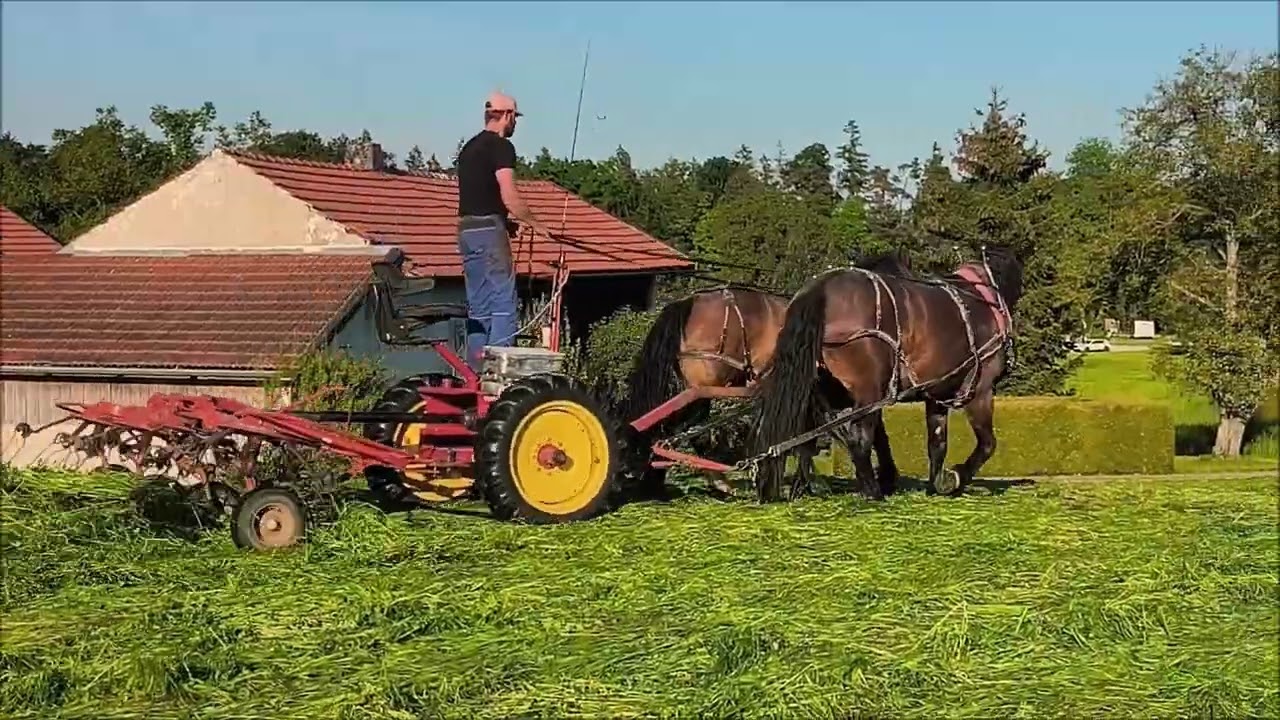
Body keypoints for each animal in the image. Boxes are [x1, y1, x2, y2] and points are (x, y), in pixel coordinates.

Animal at [750, 245, 1024, 503]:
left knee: (821, 439)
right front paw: (956, 477)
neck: (982, 299)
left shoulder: (935, 394)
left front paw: (935, 484)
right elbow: (987, 444)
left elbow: (937, 444)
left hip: (826, 391)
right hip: (868, 391)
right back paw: (872, 492)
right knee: (858, 440)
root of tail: (820, 289)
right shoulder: (981, 390)